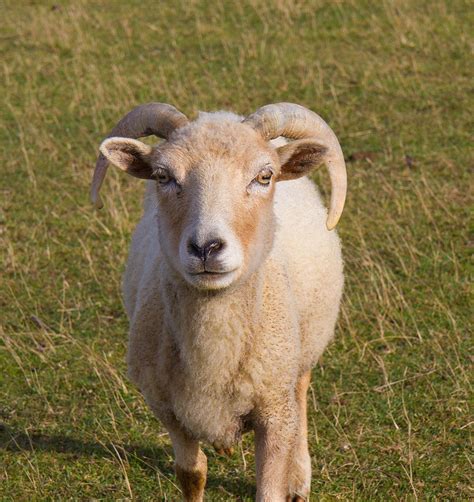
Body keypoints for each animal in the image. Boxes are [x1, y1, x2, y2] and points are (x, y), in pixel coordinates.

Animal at [90, 100, 346, 500]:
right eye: (163, 176)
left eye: (264, 176)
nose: (206, 248)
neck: (213, 354)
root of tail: (222, 114)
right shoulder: (168, 409)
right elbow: (191, 474)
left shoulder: (274, 409)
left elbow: (269, 489)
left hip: (303, 348)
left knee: (302, 390)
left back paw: (300, 477)